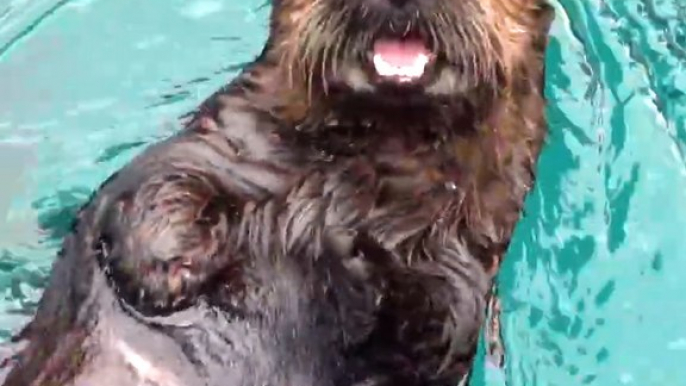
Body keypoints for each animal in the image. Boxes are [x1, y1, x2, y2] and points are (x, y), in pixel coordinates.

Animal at [1, 0, 552, 384]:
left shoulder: (473, 252)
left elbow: (441, 324)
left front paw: (366, 252)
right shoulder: (226, 142)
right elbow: (156, 189)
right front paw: (167, 271)